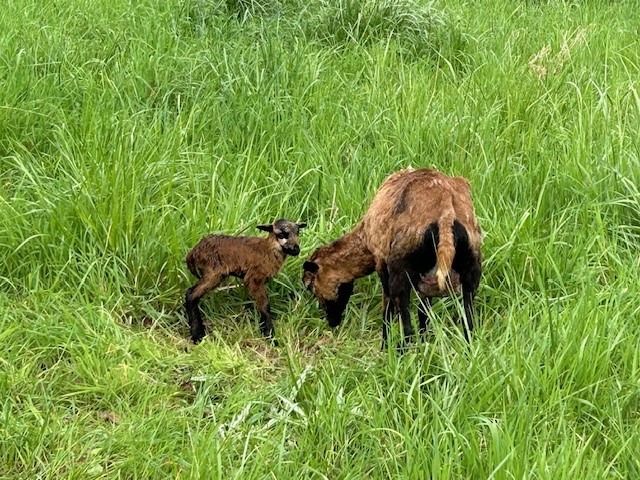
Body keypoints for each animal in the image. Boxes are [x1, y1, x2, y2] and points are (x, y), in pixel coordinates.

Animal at [304, 169, 480, 348]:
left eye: (310, 286)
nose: (332, 322)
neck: (363, 238)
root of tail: (446, 212)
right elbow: (423, 311)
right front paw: (424, 341)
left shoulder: (381, 261)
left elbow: (388, 309)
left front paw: (385, 345)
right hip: (472, 267)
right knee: (468, 320)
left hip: (400, 269)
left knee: (406, 322)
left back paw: (401, 350)